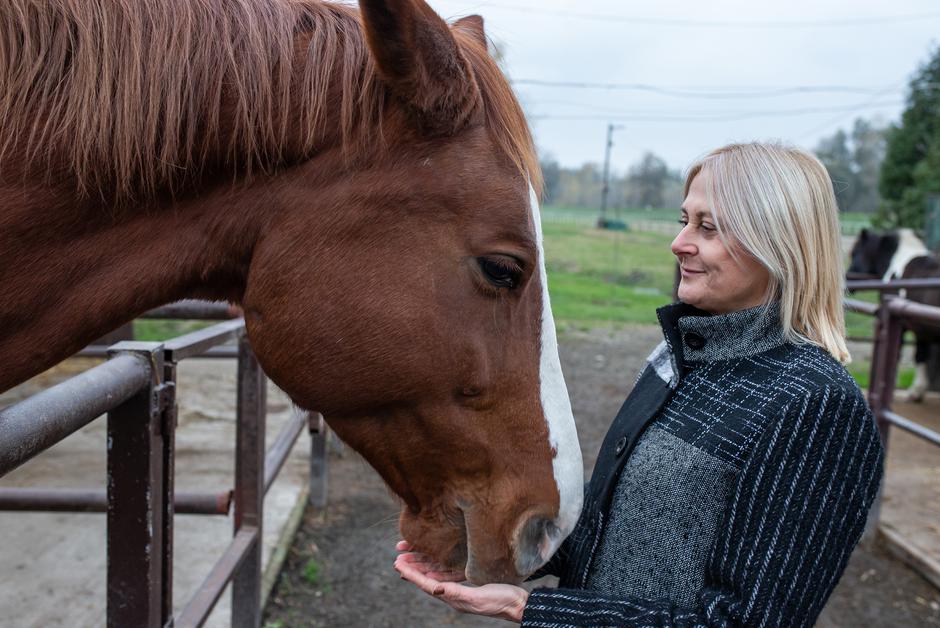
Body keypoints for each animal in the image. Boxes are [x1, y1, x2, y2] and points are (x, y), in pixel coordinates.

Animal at [848, 229, 936, 402]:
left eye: (854, 253)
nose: (847, 278)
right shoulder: (921, 328)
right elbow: (921, 354)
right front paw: (917, 391)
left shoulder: (902, 324)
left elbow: (899, 355)